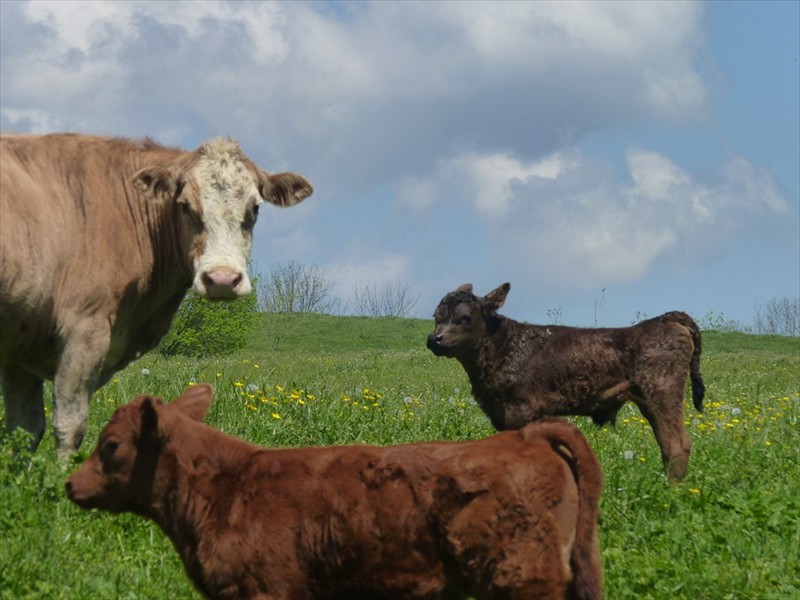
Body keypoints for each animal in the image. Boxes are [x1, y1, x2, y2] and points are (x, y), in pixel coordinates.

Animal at [0, 132, 312, 460]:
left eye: (255, 208)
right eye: (185, 206)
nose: (222, 280)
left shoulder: (23, 348)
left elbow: (25, 429)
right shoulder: (84, 330)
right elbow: (69, 426)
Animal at [428, 282, 704, 482]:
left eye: (465, 318)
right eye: (435, 315)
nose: (435, 339)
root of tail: (666, 318)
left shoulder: (519, 410)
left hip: (662, 394)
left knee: (676, 446)